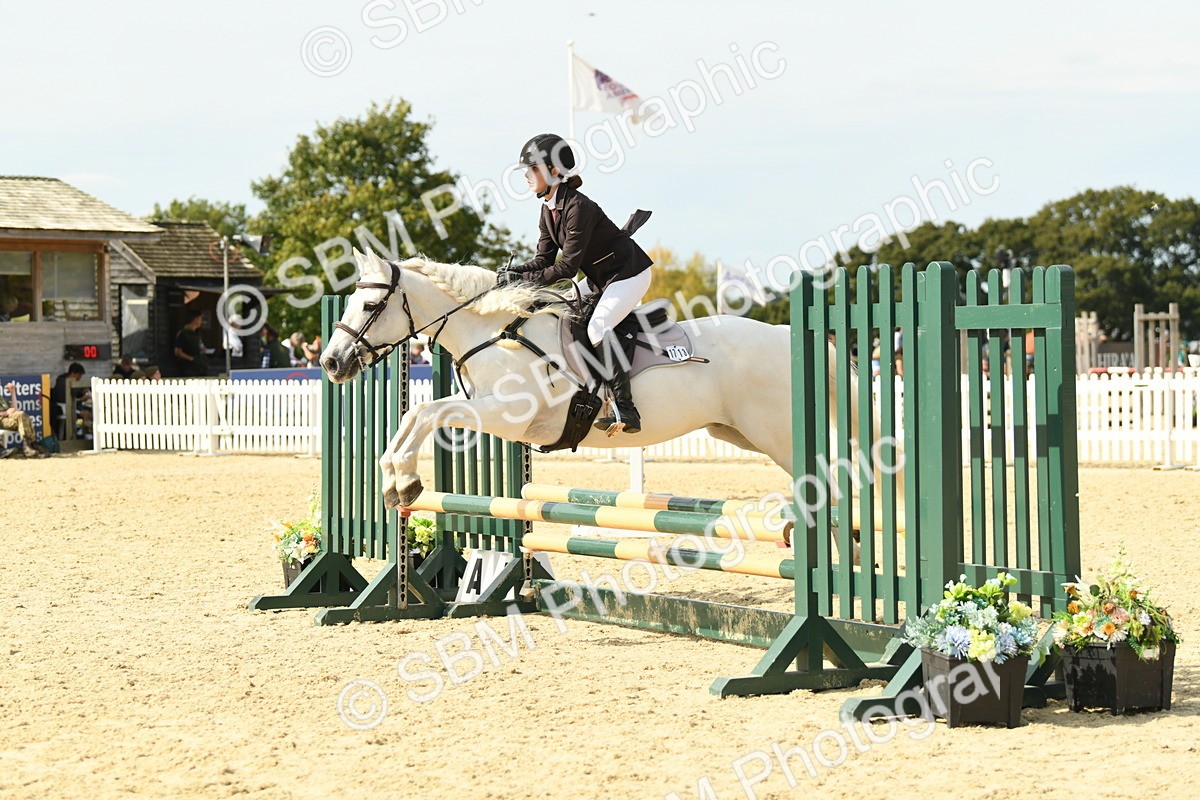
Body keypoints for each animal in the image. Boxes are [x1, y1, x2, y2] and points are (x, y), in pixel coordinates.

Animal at [321, 249, 865, 513]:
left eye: (371, 305)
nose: (330, 363)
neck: (494, 330)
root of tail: (783, 334)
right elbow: (415, 415)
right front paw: (396, 484)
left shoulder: (505, 417)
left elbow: (427, 411)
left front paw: (405, 480)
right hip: (738, 433)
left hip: (776, 434)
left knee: (829, 487)